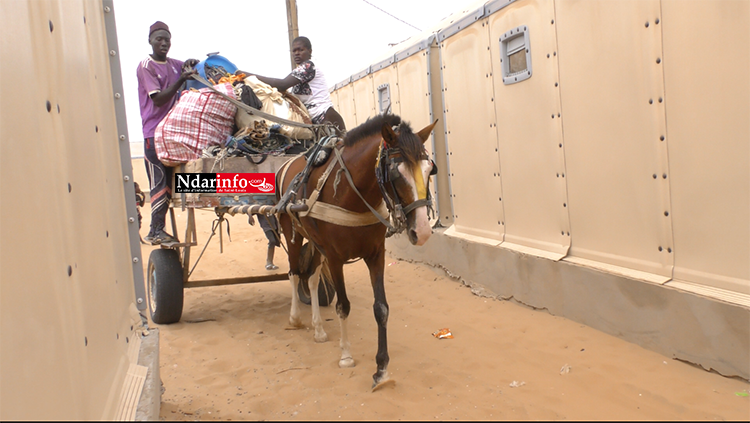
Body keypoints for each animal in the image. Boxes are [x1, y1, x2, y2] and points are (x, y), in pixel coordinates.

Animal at [276, 113, 440, 390]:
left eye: (429, 170)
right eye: (396, 173)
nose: (423, 231)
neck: (350, 193)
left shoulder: (375, 255)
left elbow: (381, 309)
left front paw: (381, 369)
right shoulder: (335, 258)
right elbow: (343, 306)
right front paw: (346, 355)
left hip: (316, 242)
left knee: (311, 278)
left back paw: (319, 329)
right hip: (293, 233)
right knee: (294, 273)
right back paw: (295, 318)